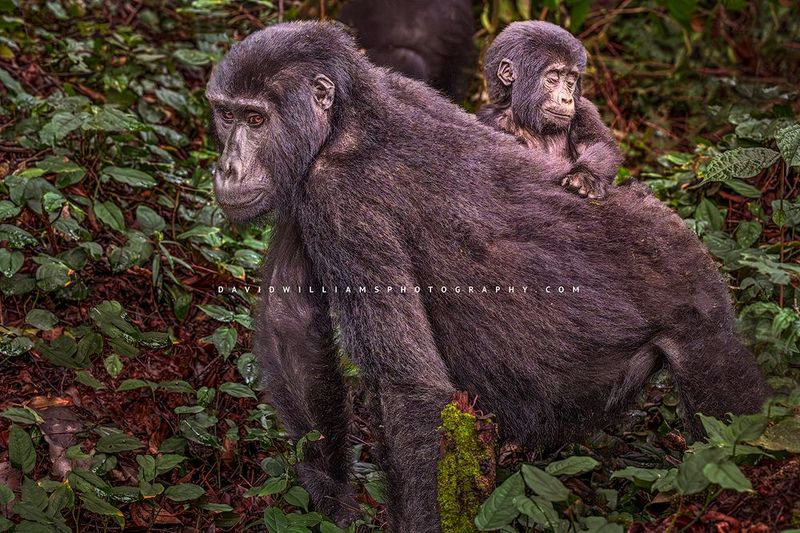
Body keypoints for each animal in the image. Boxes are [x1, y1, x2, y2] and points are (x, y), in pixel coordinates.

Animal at [477, 21, 623, 199]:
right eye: (553, 77)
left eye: (571, 80)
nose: (566, 98)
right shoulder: (489, 121)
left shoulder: (584, 109)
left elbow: (599, 143)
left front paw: (586, 176)